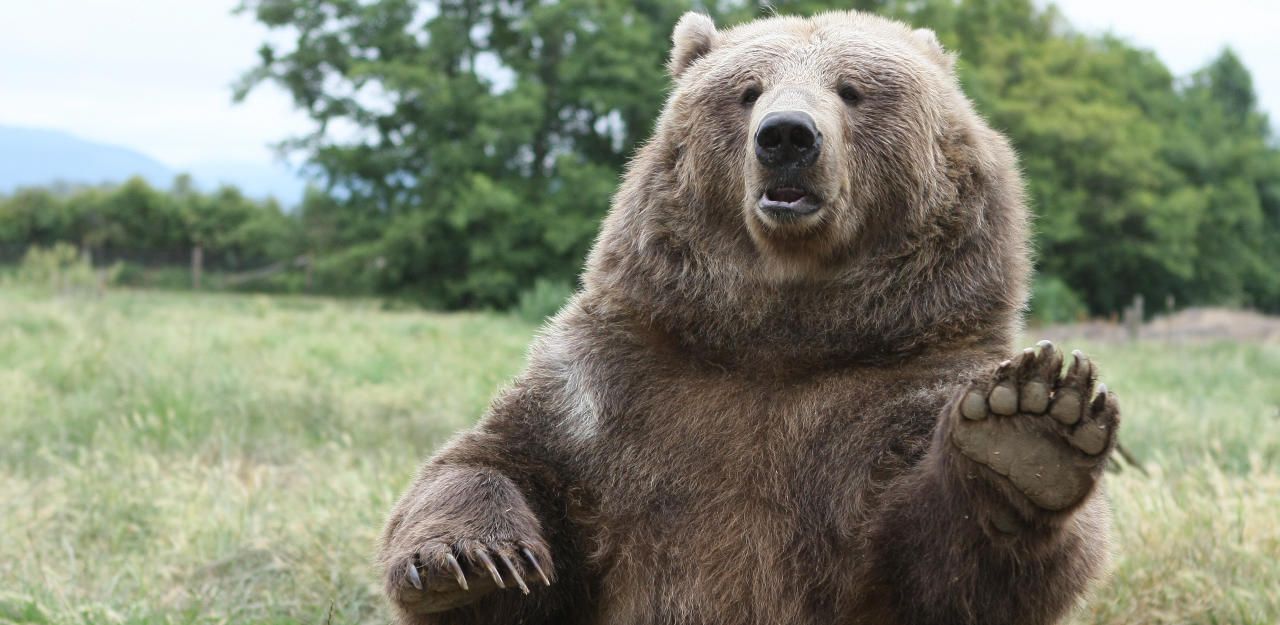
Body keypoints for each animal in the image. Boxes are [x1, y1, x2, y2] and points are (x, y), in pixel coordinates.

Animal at [377, 10, 1119, 625]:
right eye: (748, 90)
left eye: (852, 89)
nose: (787, 136)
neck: (779, 339)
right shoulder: (613, 390)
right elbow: (498, 462)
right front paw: (469, 561)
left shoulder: (904, 386)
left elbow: (941, 568)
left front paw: (1028, 431)